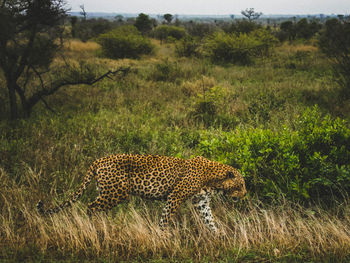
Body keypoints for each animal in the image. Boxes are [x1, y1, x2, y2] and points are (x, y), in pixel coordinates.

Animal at [37, 155, 246, 233]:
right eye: (241, 185)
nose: (245, 195)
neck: (213, 180)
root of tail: (100, 159)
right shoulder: (175, 196)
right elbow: (165, 218)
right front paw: (162, 237)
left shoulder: (201, 202)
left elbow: (209, 220)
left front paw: (218, 237)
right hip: (116, 192)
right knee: (90, 207)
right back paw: (93, 228)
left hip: (106, 191)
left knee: (94, 206)